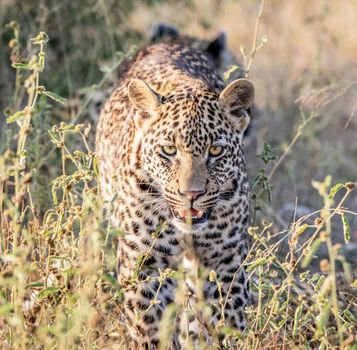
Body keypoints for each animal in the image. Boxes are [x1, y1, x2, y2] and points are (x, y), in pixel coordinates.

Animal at [95, 32, 253, 348]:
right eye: (169, 150)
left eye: (215, 151)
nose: (191, 194)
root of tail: (169, 41)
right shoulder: (145, 262)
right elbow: (150, 327)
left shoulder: (224, 258)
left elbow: (227, 318)